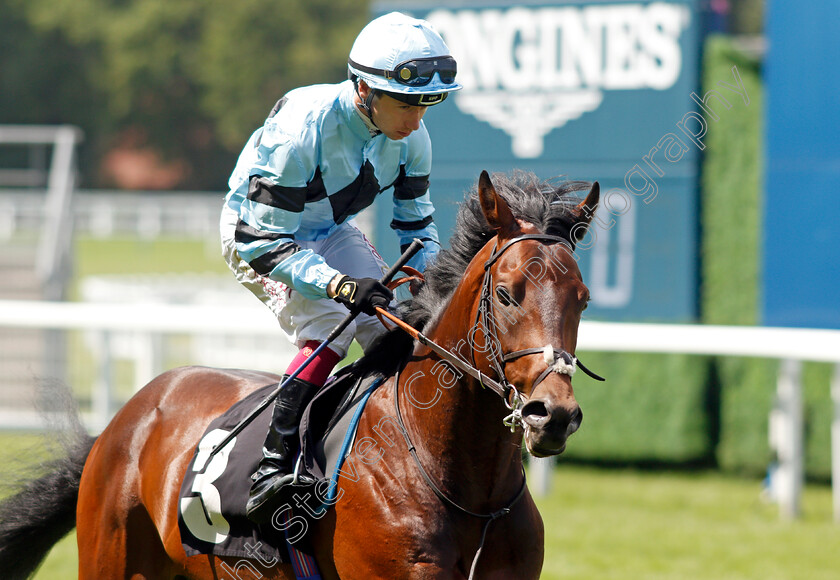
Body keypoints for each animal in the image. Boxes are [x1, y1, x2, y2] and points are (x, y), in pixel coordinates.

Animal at [0, 170, 596, 576]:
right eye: (507, 294)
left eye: (583, 298)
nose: (553, 414)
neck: (466, 489)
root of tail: (126, 417)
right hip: (112, 558)